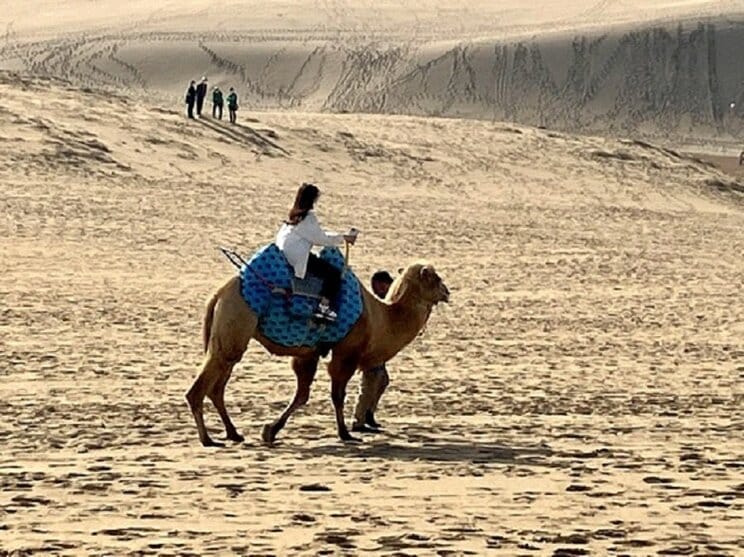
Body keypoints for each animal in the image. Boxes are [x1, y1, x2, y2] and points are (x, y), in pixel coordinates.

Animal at [189, 262, 450, 448]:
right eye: (436, 278)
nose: (448, 292)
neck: (382, 317)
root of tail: (219, 293)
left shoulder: (309, 353)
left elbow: (302, 395)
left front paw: (270, 431)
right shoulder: (346, 353)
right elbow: (337, 394)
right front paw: (345, 434)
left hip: (228, 336)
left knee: (217, 385)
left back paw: (233, 433)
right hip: (236, 321)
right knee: (200, 387)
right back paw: (208, 439)